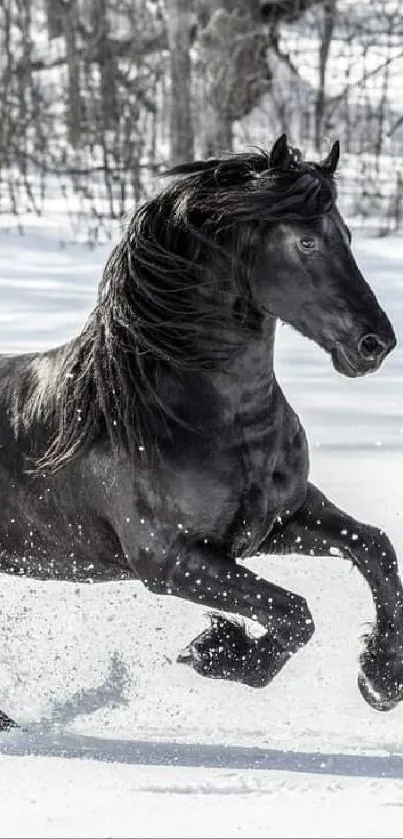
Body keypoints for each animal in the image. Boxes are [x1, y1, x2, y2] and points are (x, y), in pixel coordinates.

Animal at [0, 135, 400, 732]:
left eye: (348, 236)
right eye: (306, 241)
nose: (376, 343)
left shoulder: (275, 522)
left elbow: (374, 547)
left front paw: (380, 679)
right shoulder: (170, 560)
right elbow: (294, 612)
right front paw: (217, 652)